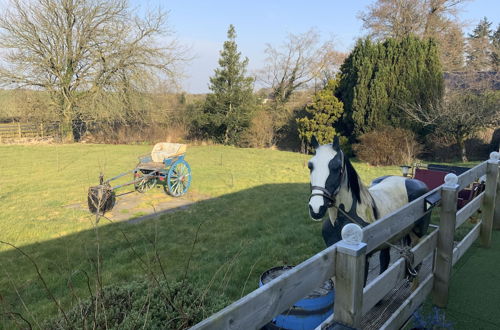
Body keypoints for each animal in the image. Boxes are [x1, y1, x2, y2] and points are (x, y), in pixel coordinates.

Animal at [306, 135, 432, 282]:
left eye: (336, 166)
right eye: (310, 166)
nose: (316, 208)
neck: (343, 221)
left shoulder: (363, 261)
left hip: (418, 234)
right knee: (385, 260)